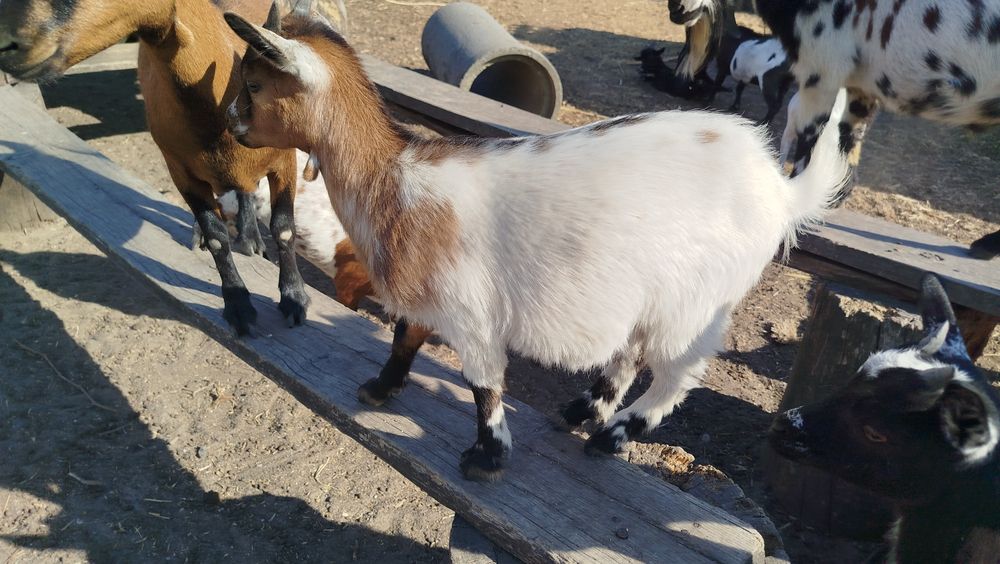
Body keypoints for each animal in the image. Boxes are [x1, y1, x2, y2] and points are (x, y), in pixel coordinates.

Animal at [222, 11, 851, 481]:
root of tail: (779, 188)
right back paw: (583, 409)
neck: (396, 181)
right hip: (648, 293)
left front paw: (487, 457)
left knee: (676, 377)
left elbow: (483, 385)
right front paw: (381, 388)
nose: (229, 123)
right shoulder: (431, 295)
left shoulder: (471, 313)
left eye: (254, 85)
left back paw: (613, 436)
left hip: (695, 305)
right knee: (629, 351)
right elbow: (406, 337)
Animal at [686, 0, 1000, 258]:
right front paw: (833, 195)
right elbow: (850, 137)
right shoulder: (860, 83)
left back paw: (983, 247)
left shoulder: (823, 66)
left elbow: (810, 140)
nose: (679, 10)